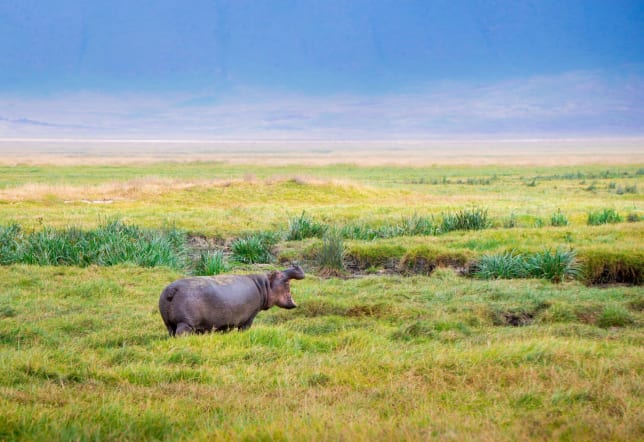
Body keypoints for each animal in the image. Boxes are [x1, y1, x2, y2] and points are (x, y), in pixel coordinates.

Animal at [158, 266, 304, 334]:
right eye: (279, 274)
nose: (296, 266)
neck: (264, 285)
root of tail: (172, 289)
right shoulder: (249, 317)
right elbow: (244, 328)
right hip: (185, 324)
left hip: (169, 324)